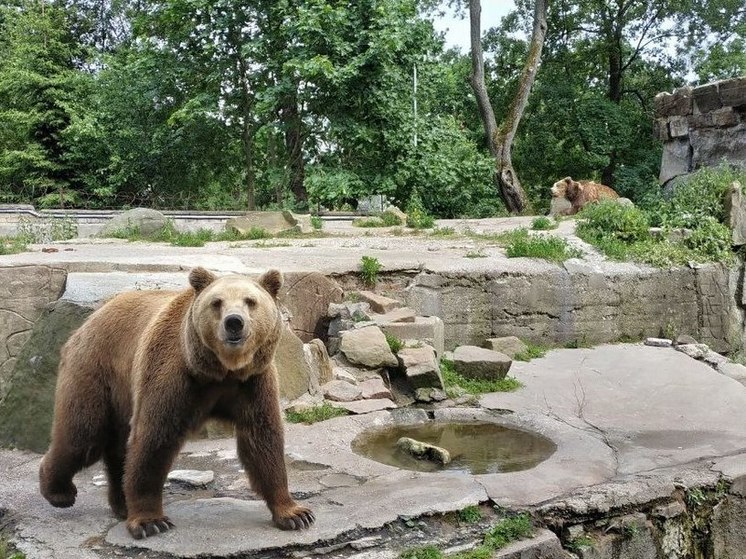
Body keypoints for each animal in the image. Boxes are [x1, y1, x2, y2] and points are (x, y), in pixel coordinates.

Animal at [39, 270, 312, 540]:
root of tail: (92, 317)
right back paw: (59, 491)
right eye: (217, 302)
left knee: (114, 447)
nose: (234, 322)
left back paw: (121, 504)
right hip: (97, 370)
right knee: (84, 435)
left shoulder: (253, 382)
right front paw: (150, 521)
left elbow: (262, 439)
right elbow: (154, 439)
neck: (222, 370)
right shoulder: (174, 373)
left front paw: (295, 514)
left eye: (250, 301)